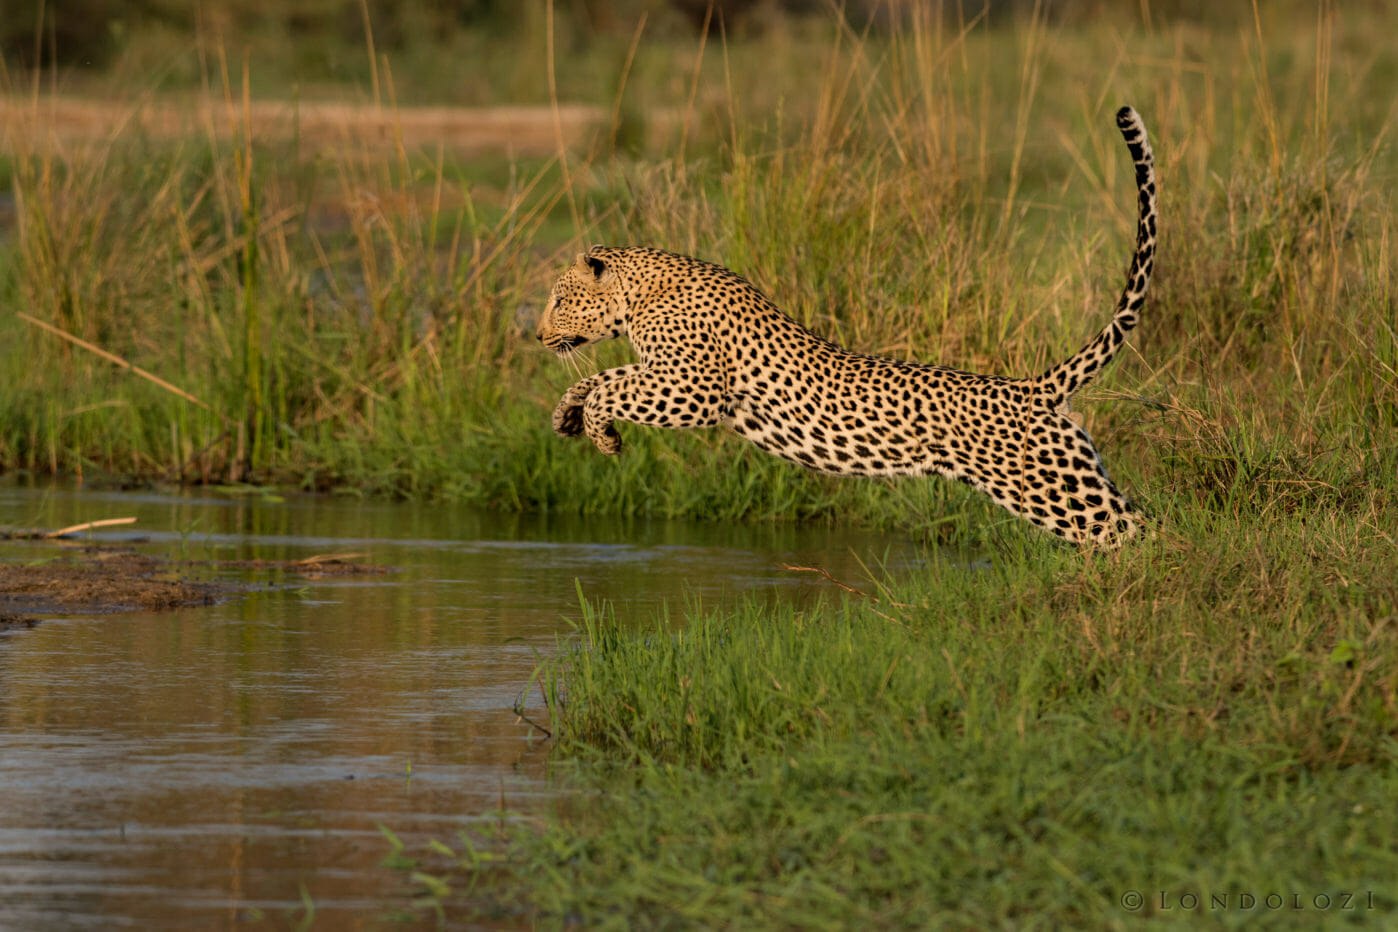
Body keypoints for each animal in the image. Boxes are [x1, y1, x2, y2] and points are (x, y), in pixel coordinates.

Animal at [534, 107, 1157, 547]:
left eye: (559, 299)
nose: (537, 337)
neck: (640, 294)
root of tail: (1033, 388)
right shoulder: (661, 373)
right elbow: (602, 377)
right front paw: (568, 416)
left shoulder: (695, 388)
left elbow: (612, 385)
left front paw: (602, 433)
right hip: (1072, 475)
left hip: (1056, 487)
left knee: (1139, 533)